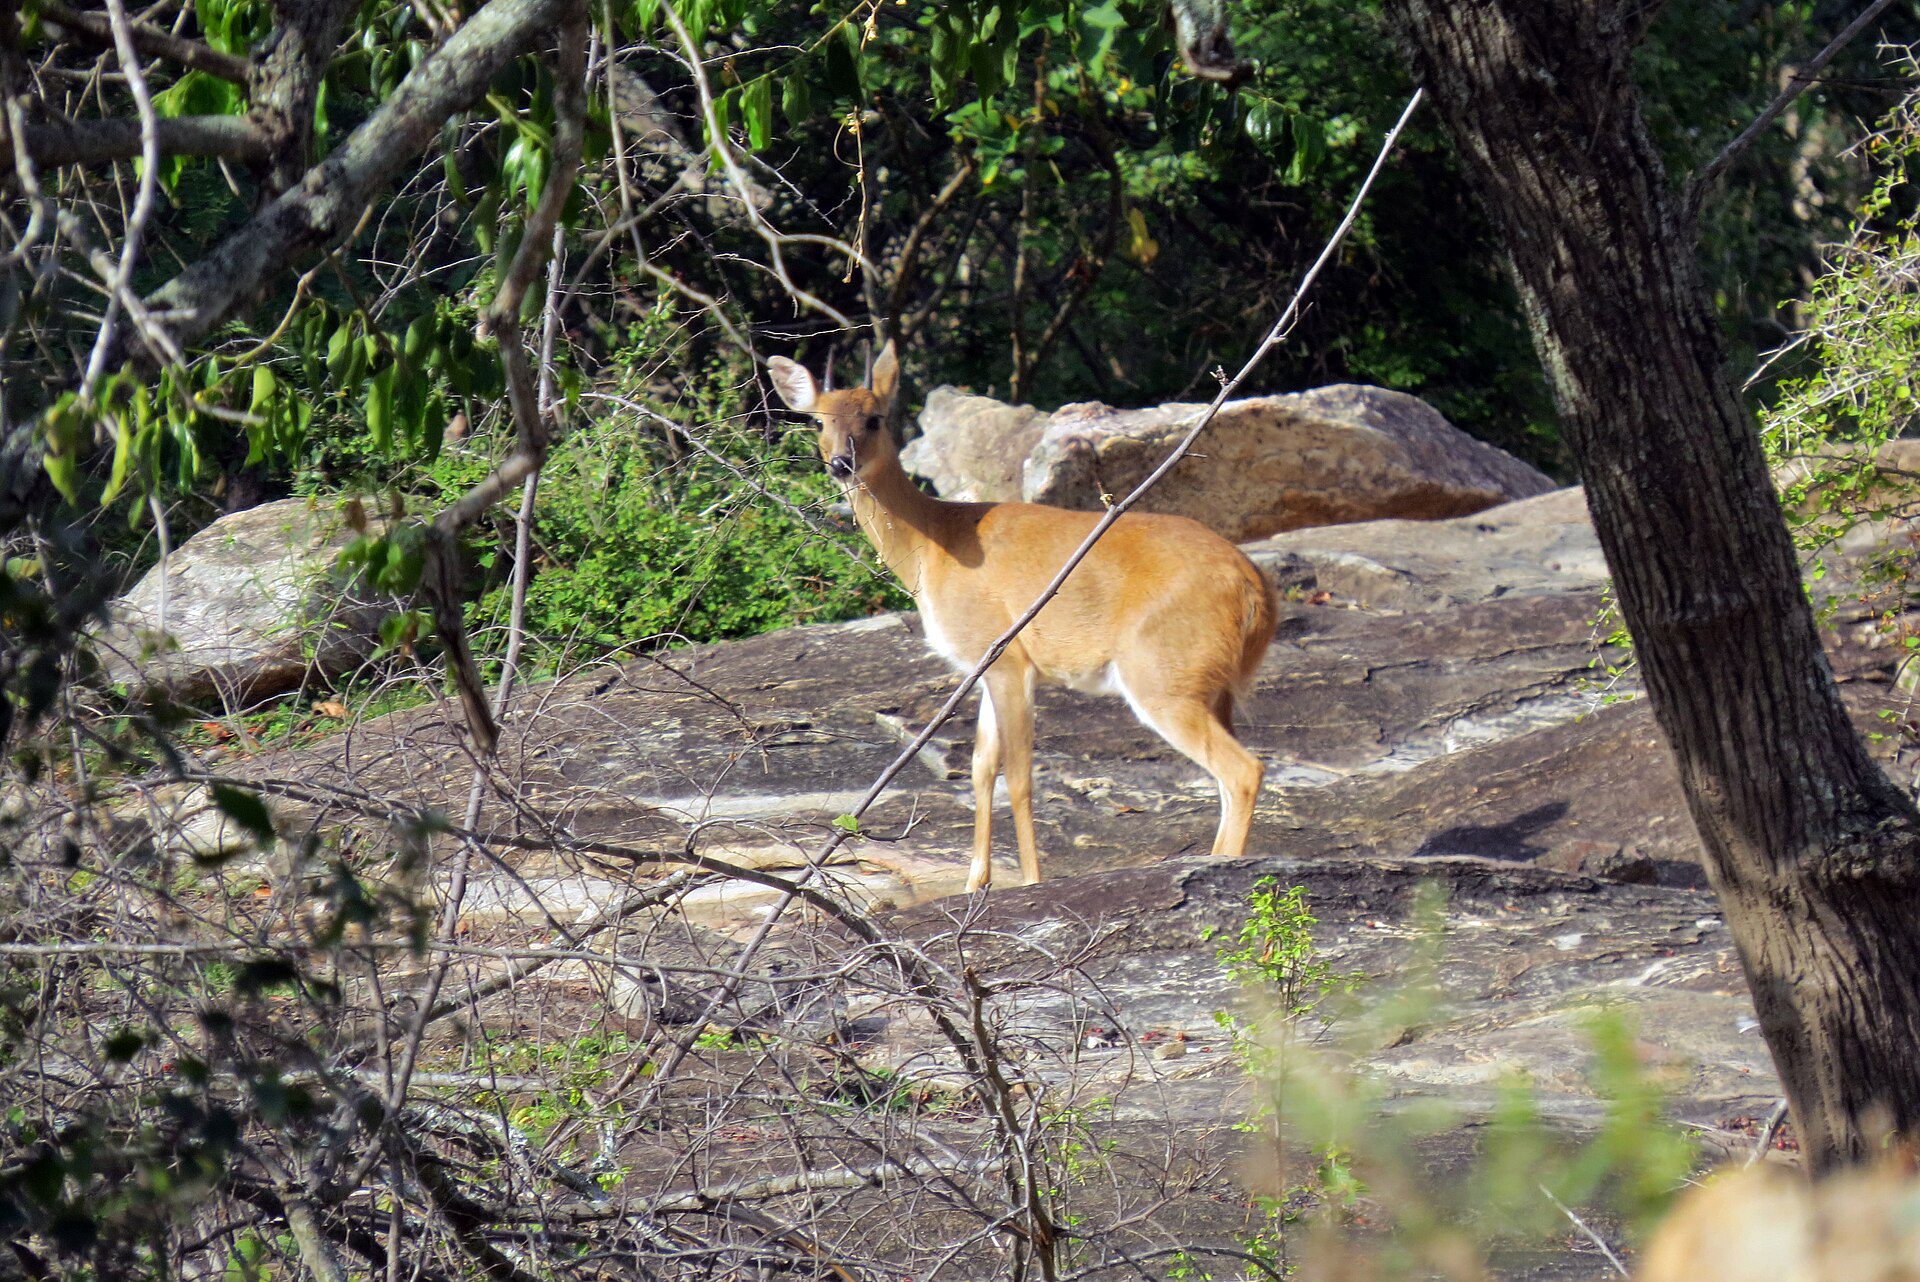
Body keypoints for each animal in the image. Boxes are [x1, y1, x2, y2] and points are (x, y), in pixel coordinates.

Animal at [770, 341, 1278, 891]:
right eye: (818, 420)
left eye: (874, 418)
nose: (842, 463)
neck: (935, 545)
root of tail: (1256, 591)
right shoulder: (985, 665)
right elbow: (979, 765)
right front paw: (975, 881)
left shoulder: (1006, 653)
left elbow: (1017, 775)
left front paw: (1031, 881)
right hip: (1208, 684)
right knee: (1226, 775)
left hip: (1163, 673)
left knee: (1242, 770)